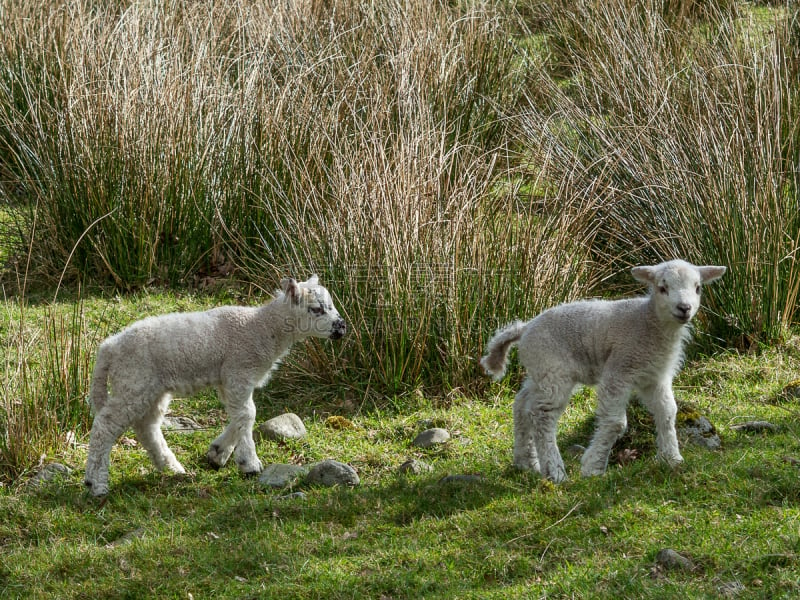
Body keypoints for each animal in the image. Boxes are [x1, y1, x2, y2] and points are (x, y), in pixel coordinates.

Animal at [83, 274, 346, 494]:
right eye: (316, 309)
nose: (342, 327)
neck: (261, 328)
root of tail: (108, 347)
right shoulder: (238, 371)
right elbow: (248, 414)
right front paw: (249, 463)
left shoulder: (228, 378)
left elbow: (241, 415)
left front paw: (218, 452)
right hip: (133, 381)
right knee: (105, 426)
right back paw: (96, 483)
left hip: (151, 387)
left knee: (147, 427)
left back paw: (171, 467)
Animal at [478, 258, 728, 482]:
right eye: (662, 288)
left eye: (697, 288)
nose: (684, 308)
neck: (649, 323)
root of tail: (526, 328)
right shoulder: (619, 371)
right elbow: (616, 422)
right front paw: (593, 466)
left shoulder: (654, 377)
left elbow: (667, 413)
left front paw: (672, 458)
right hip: (554, 370)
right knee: (542, 415)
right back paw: (555, 472)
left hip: (541, 371)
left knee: (522, 404)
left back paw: (526, 462)